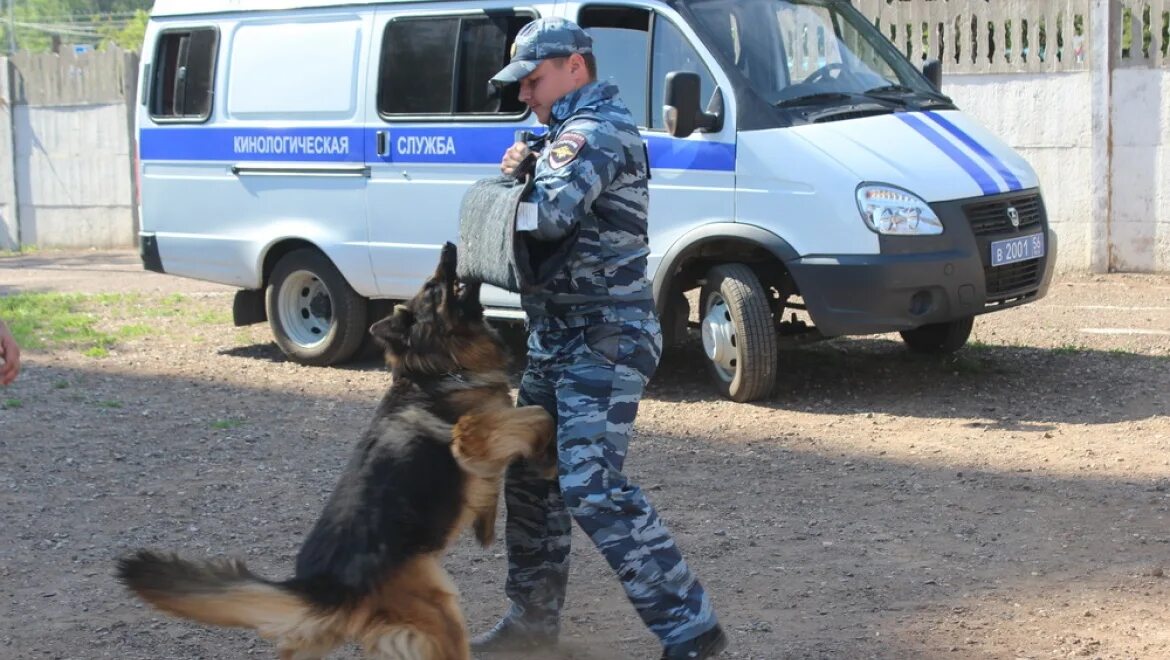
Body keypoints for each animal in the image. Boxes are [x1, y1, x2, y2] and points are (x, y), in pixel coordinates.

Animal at [117, 243, 552, 660]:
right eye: (434, 287)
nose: (448, 245)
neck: (439, 368)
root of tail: (319, 586)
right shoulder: (474, 434)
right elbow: (539, 414)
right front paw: (547, 458)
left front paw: (487, 523)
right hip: (440, 611)